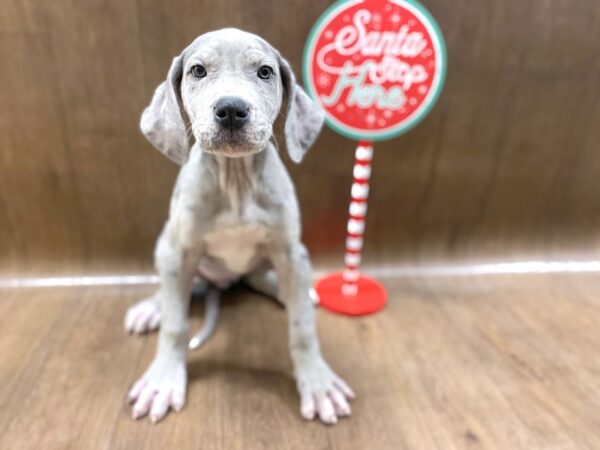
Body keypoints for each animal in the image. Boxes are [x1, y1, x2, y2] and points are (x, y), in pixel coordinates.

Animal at [123, 29, 354, 426]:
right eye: (198, 70)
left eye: (265, 72)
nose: (231, 109)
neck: (235, 182)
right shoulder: (179, 251)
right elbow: (175, 324)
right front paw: (164, 379)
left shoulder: (291, 251)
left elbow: (303, 329)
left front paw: (317, 382)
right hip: (166, 246)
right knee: (172, 290)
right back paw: (151, 307)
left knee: (265, 279)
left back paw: (291, 291)